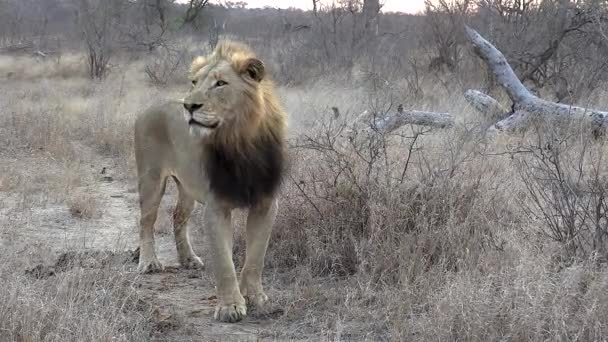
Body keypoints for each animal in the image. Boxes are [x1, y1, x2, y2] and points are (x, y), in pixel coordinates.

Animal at [134, 41, 286, 322]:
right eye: (194, 82)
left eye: (220, 84)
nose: (189, 106)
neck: (240, 143)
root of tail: (150, 104)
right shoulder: (217, 207)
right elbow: (224, 262)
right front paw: (230, 307)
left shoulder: (266, 204)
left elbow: (256, 257)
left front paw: (257, 298)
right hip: (150, 179)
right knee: (146, 222)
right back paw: (149, 263)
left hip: (187, 187)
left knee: (178, 217)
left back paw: (188, 259)